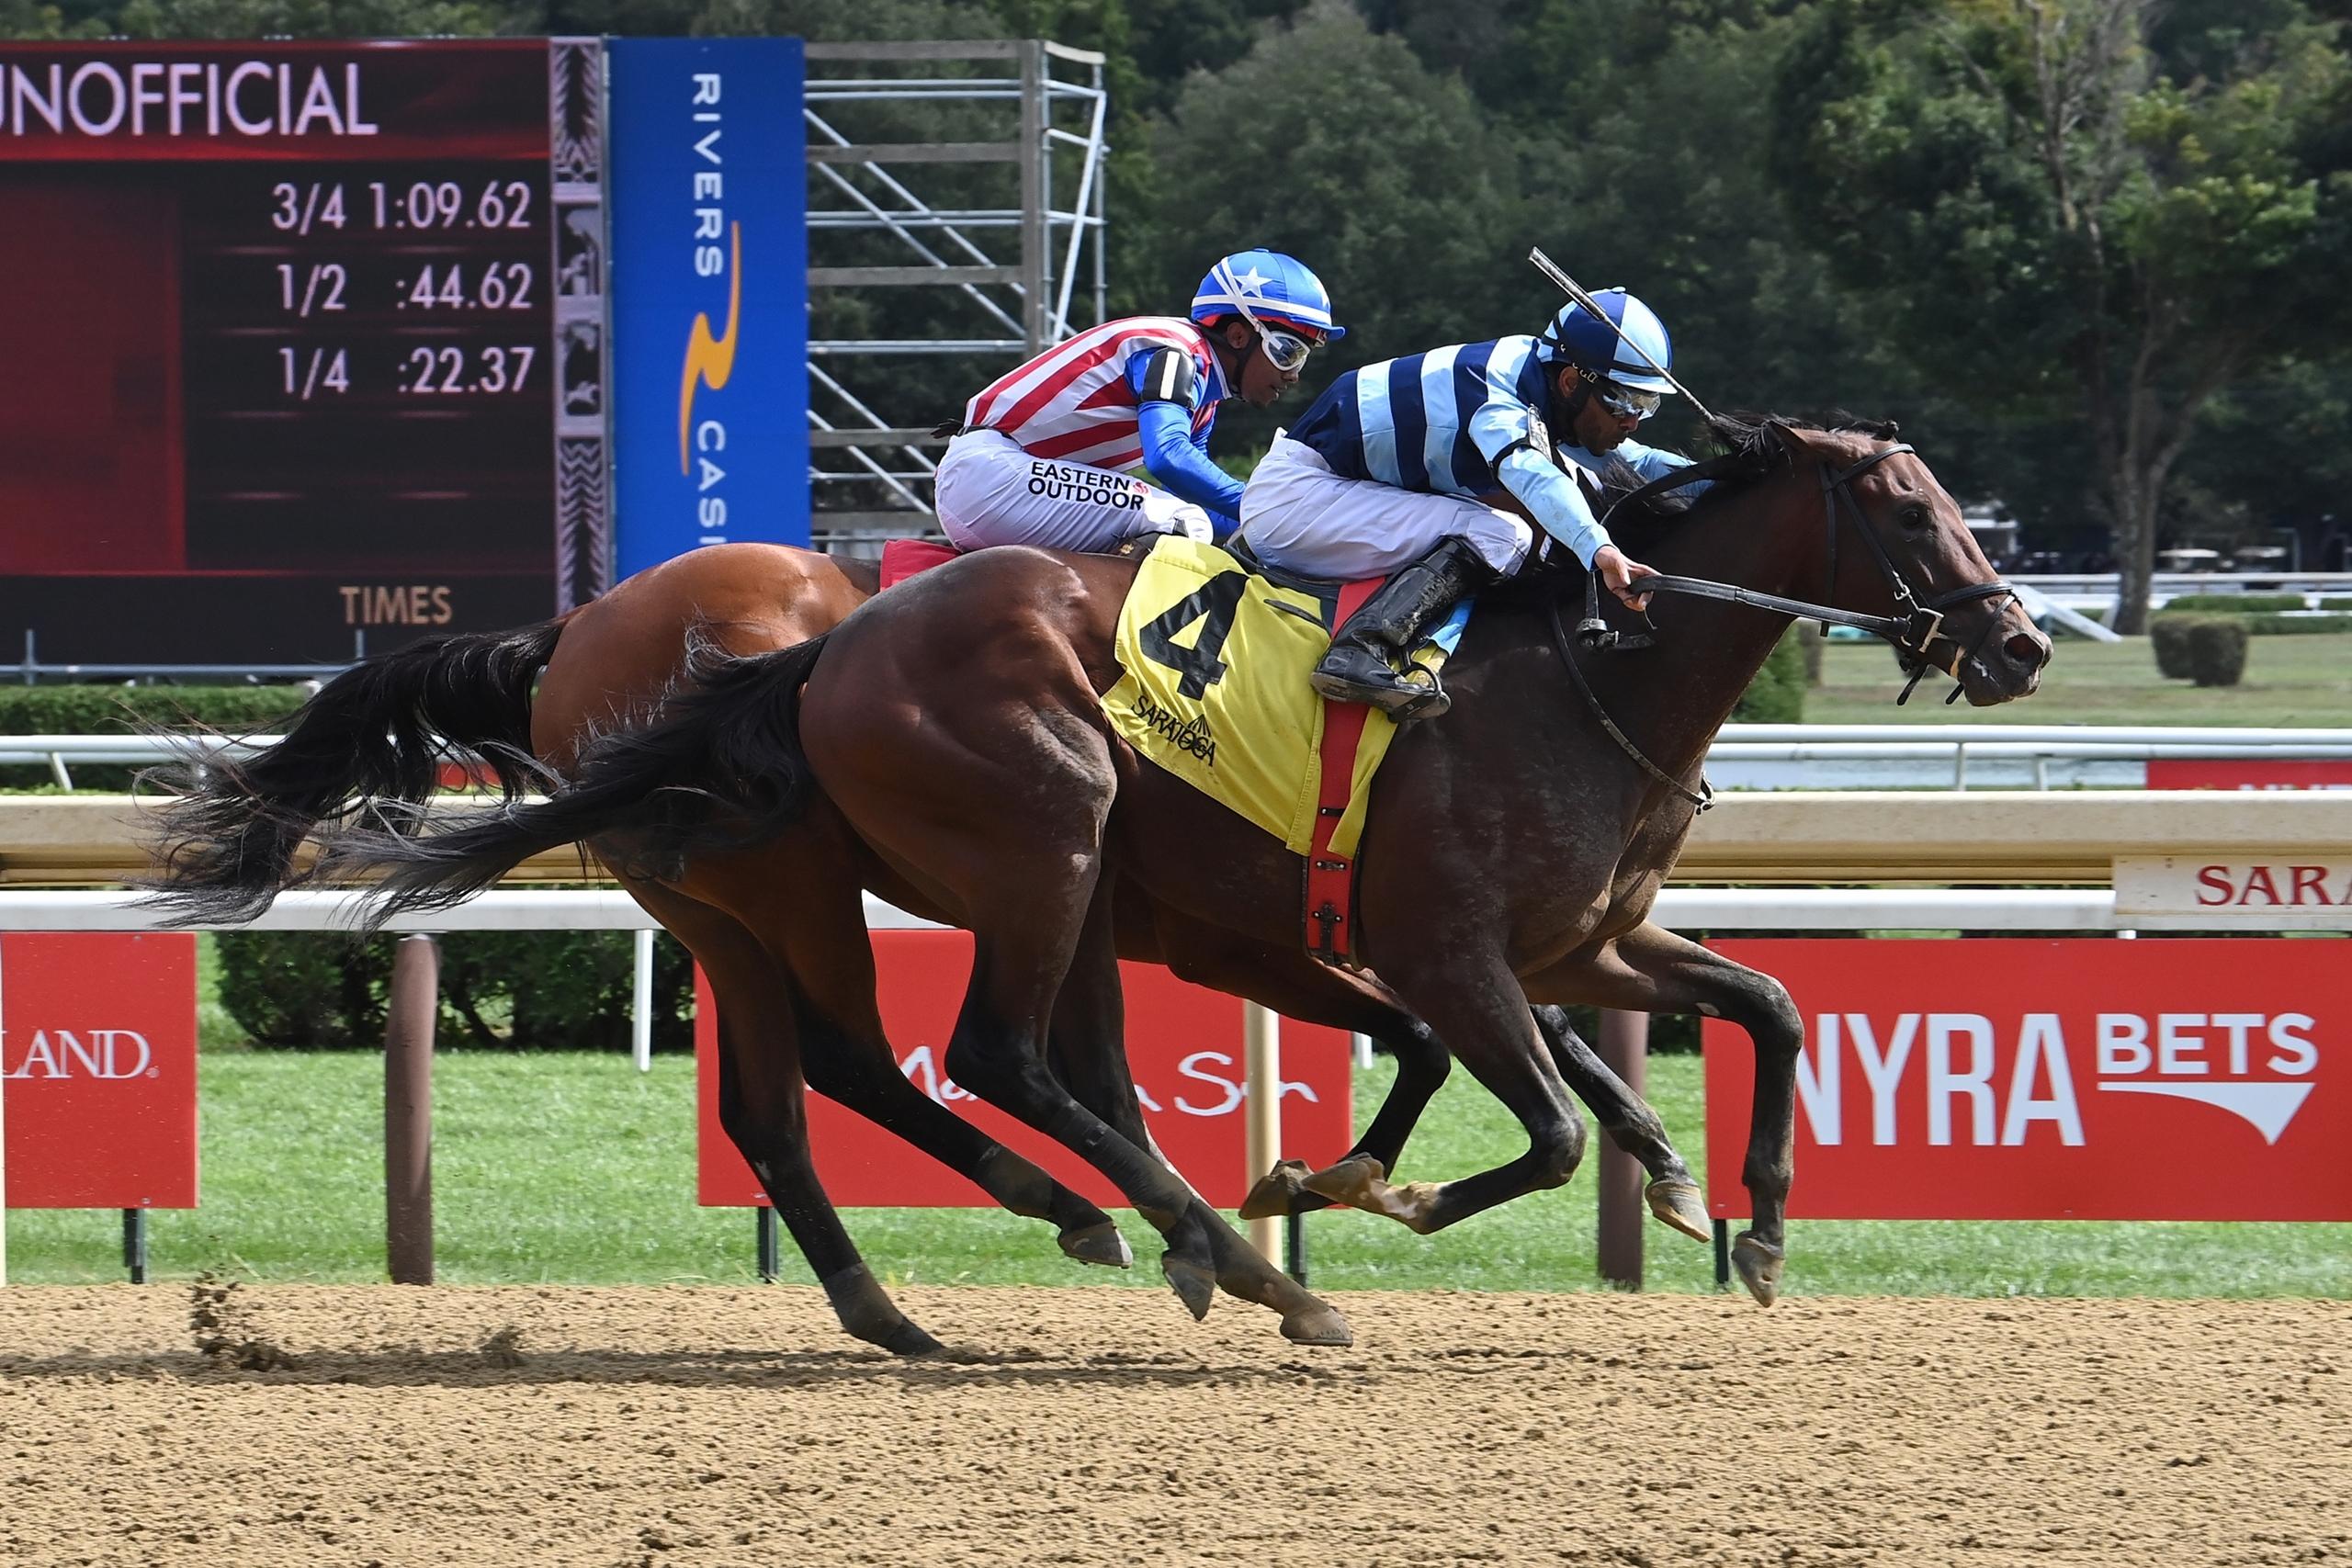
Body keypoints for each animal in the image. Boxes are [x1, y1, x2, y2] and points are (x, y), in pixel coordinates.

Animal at [294, 414, 2052, 1343]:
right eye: (1911, 513)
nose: (2022, 641)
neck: (1577, 669)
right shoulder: (1436, 943)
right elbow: (1537, 1112)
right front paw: (1367, 1192)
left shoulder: (1572, 943)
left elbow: (1762, 1004)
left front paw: (1735, 1215)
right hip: (976, 849)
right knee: (954, 1056)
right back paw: (1172, 1246)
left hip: (827, 895)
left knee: (857, 1085)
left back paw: (1012, 1269)